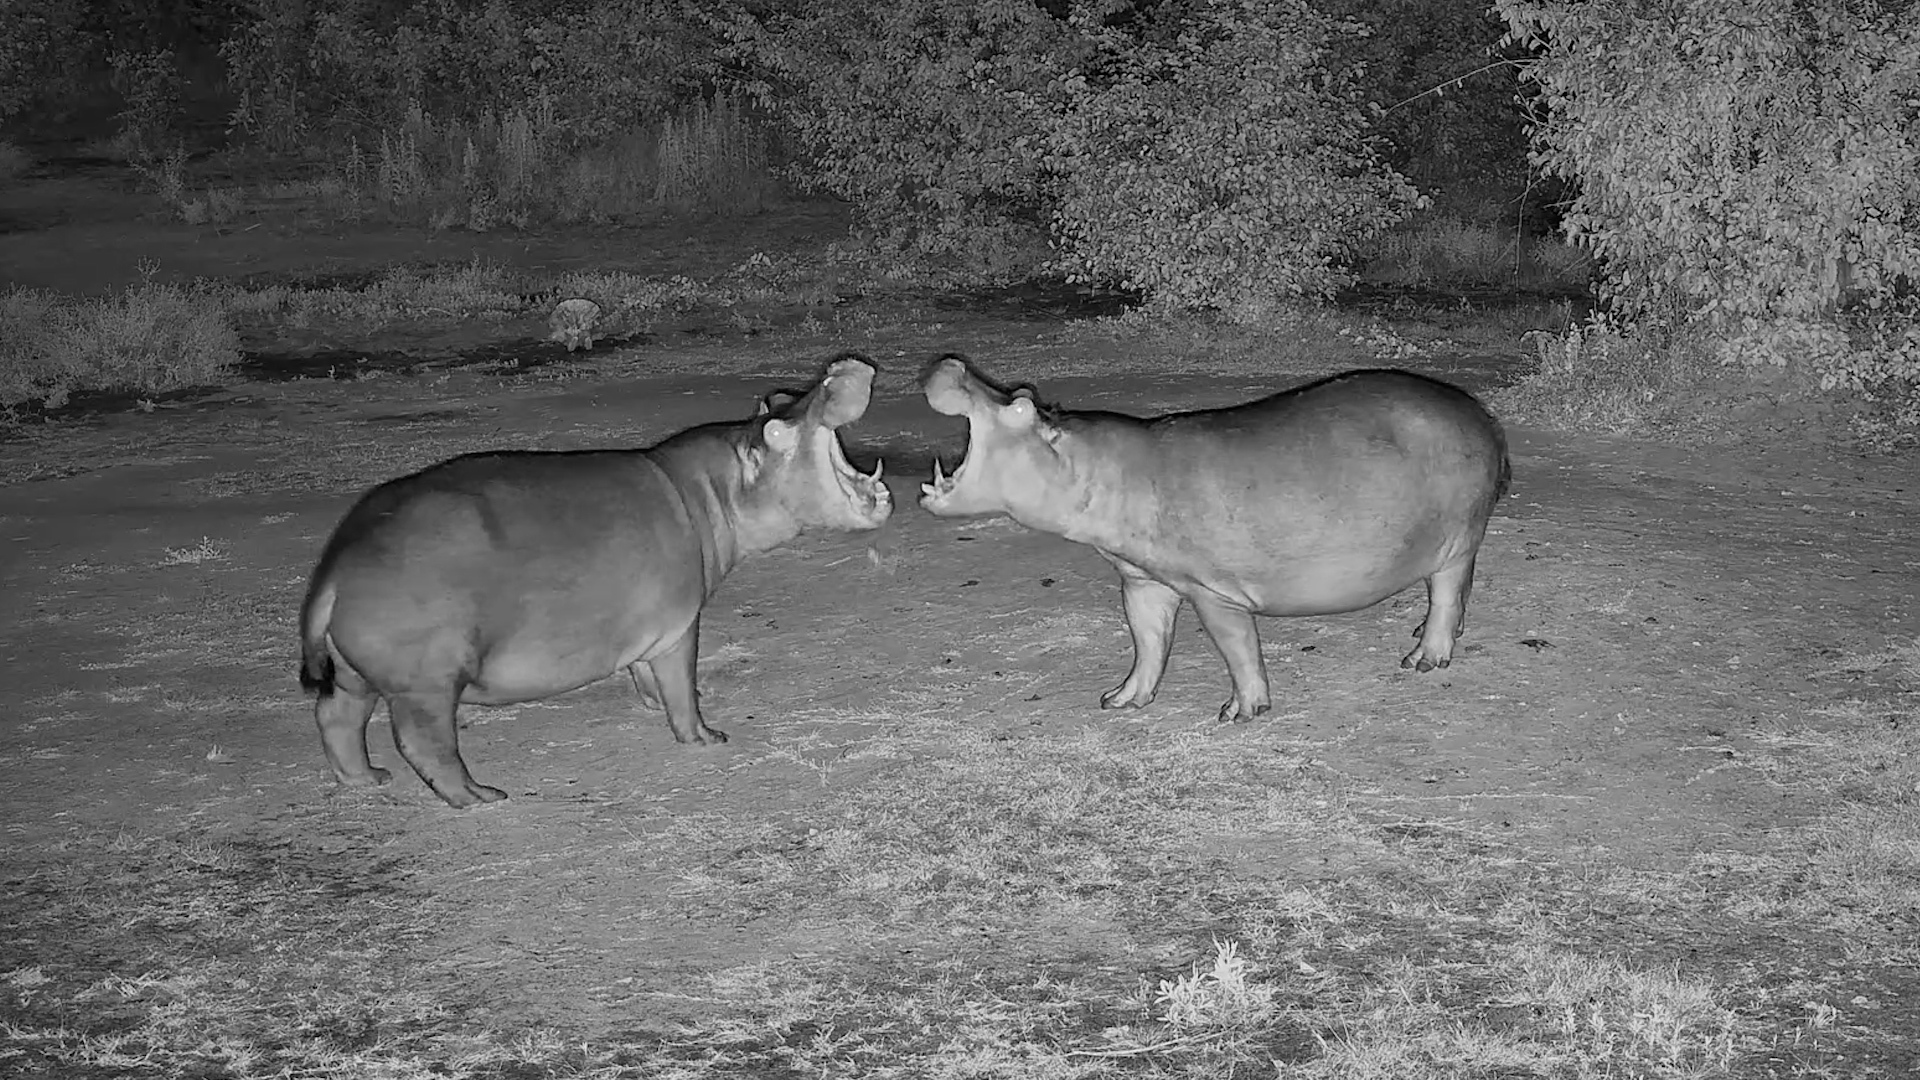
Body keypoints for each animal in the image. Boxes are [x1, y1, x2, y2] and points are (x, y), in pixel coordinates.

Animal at [298, 354, 892, 807]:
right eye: (776, 427)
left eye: (779, 397)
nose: (839, 369)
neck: (717, 490)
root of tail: (336, 567)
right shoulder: (680, 626)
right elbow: (682, 685)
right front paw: (708, 738)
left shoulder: (645, 632)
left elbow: (646, 675)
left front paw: (651, 705)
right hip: (426, 682)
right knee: (423, 743)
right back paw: (482, 797)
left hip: (355, 673)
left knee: (336, 717)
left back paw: (366, 780)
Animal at [918, 356, 1509, 723]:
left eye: (1018, 407)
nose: (953, 364)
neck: (1088, 465)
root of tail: (1479, 413)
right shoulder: (1141, 581)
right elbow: (1147, 642)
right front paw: (1119, 700)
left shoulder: (1212, 591)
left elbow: (1237, 648)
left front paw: (1238, 713)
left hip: (1458, 539)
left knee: (1448, 592)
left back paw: (1422, 658)